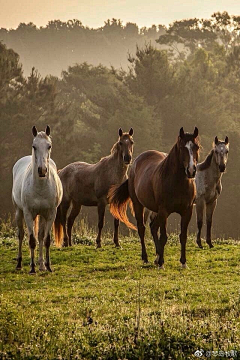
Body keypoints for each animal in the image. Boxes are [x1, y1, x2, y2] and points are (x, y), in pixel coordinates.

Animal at [12, 126, 62, 272]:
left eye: (49, 146)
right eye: (34, 146)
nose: (42, 170)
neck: (40, 187)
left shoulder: (50, 214)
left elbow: (46, 240)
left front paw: (48, 266)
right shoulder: (28, 214)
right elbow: (31, 240)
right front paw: (32, 268)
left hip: (42, 215)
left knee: (40, 235)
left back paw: (41, 265)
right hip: (19, 212)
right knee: (21, 235)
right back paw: (20, 263)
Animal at [109, 127, 200, 268]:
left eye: (196, 147)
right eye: (182, 147)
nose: (191, 171)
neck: (177, 183)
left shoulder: (187, 211)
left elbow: (183, 236)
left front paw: (183, 262)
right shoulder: (164, 211)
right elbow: (163, 237)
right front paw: (161, 263)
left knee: (153, 227)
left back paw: (156, 257)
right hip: (139, 205)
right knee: (142, 229)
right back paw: (146, 258)